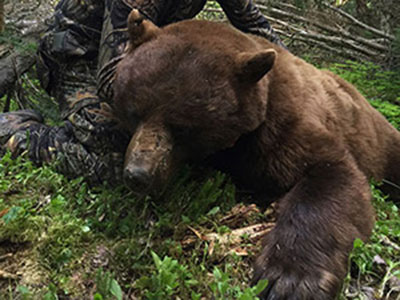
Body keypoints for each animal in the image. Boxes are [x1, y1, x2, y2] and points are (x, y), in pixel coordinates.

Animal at [111, 8, 400, 298]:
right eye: (134, 112)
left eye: (182, 127)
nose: (138, 175)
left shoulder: (283, 125)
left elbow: (333, 171)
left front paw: (290, 279)